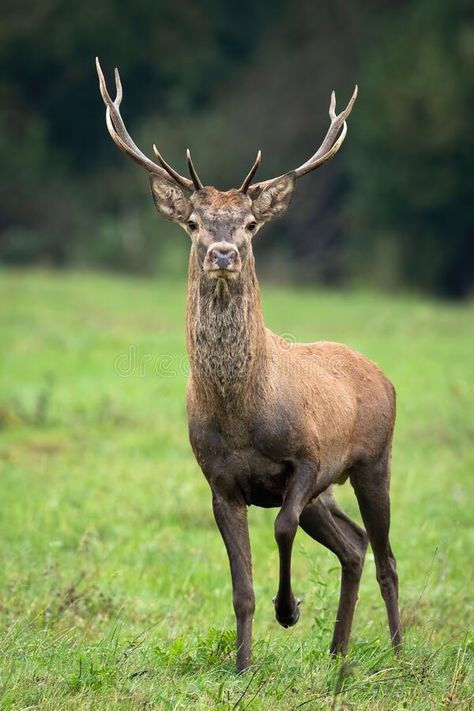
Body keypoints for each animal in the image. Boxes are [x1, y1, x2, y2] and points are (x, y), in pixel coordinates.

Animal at [98, 57, 402, 672]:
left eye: (250, 224)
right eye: (193, 222)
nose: (223, 253)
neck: (242, 416)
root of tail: (381, 375)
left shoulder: (308, 458)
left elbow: (281, 526)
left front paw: (290, 610)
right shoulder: (219, 483)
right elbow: (241, 588)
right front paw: (242, 666)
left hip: (371, 461)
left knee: (386, 557)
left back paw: (399, 653)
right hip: (329, 494)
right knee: (354, 546)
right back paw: (338, 654)